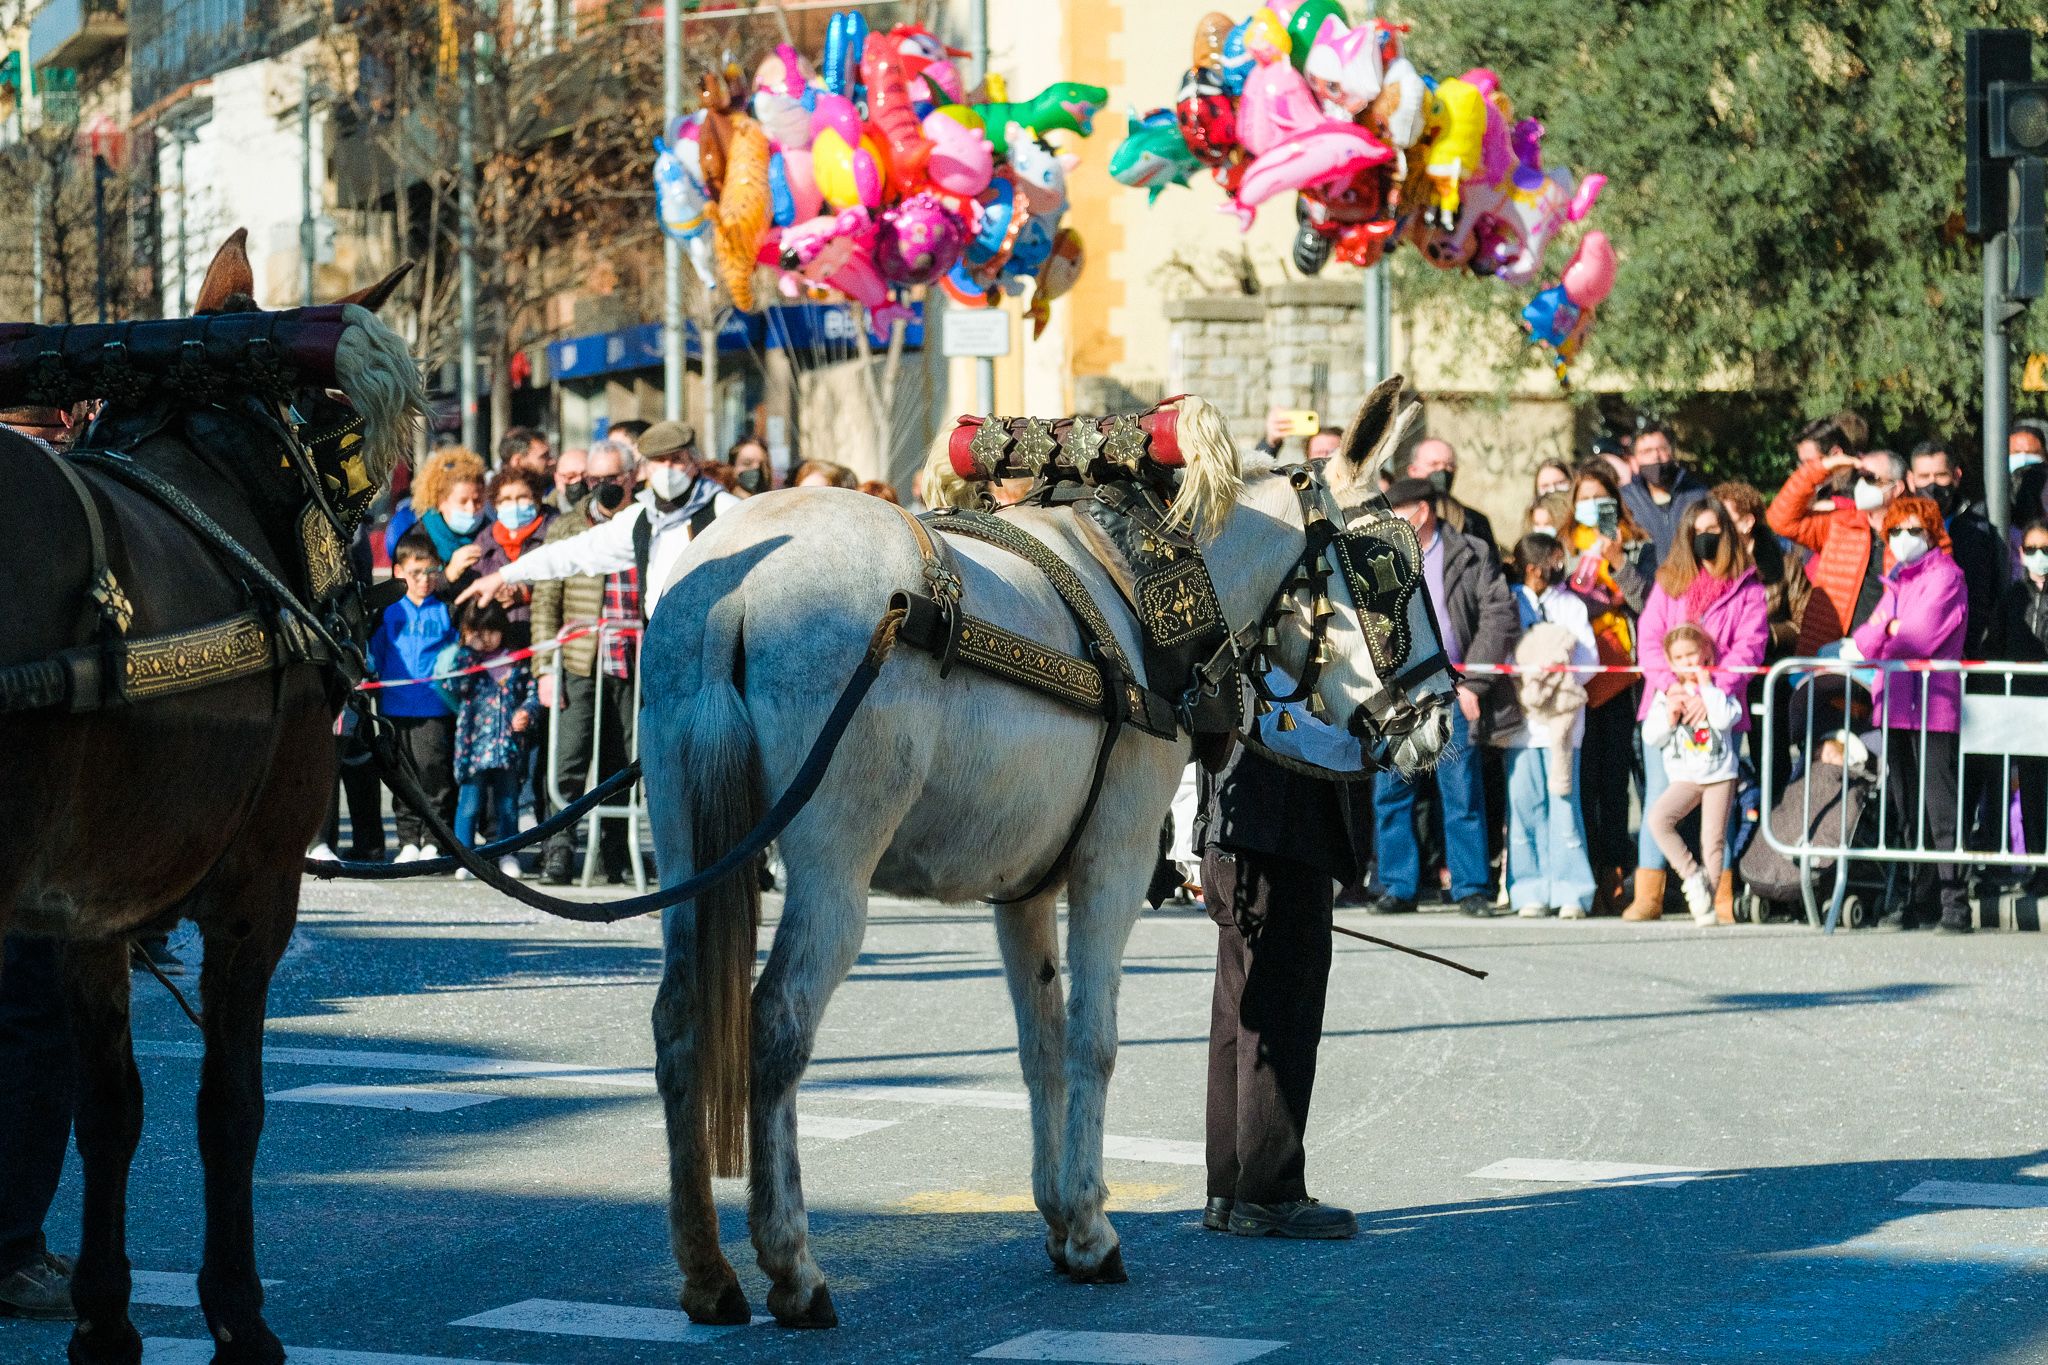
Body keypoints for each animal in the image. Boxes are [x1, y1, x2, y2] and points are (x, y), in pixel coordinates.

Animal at [0, 237, 421, 1365]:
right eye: (347, 439)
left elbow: (109, 1105)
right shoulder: (257, 894)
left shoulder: (90, 910)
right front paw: (237, 1311)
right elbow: (229, 1103)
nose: (364, 600)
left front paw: (106, 1316)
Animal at [638, 378, 1458, 1326]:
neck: (1140, 596)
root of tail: (731, 595)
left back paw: (706, 1268)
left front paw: (1062, 1220)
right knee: (776, 1025)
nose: (1441, 720)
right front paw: (1095, 1230)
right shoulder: (1116, 863)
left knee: (680, 1023)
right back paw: (792, 1265)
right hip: (832, 876)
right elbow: (1094, 1040)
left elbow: (1042, 1041)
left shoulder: (1022, 888)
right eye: (1389, 565)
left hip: (688, 857)